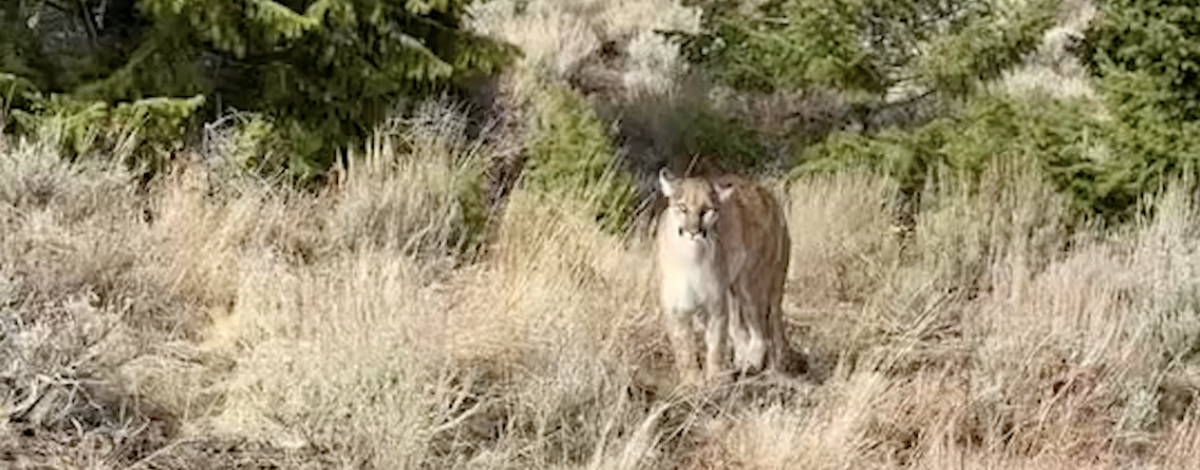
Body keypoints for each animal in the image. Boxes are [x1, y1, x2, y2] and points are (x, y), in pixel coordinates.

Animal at [654, 167, 792, 386]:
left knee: (762, 332)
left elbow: (716, 344)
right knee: (743, 330)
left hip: (750, 284)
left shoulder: (716, 306)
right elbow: (684, 348)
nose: (694, 231)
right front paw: (692, 382)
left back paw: (750, 365)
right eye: (682, 207)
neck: (692, 257)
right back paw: (742, 364)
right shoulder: (676, 306)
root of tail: (768, 195)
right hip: (733, 291)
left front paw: (715, 380)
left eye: (706, 210)